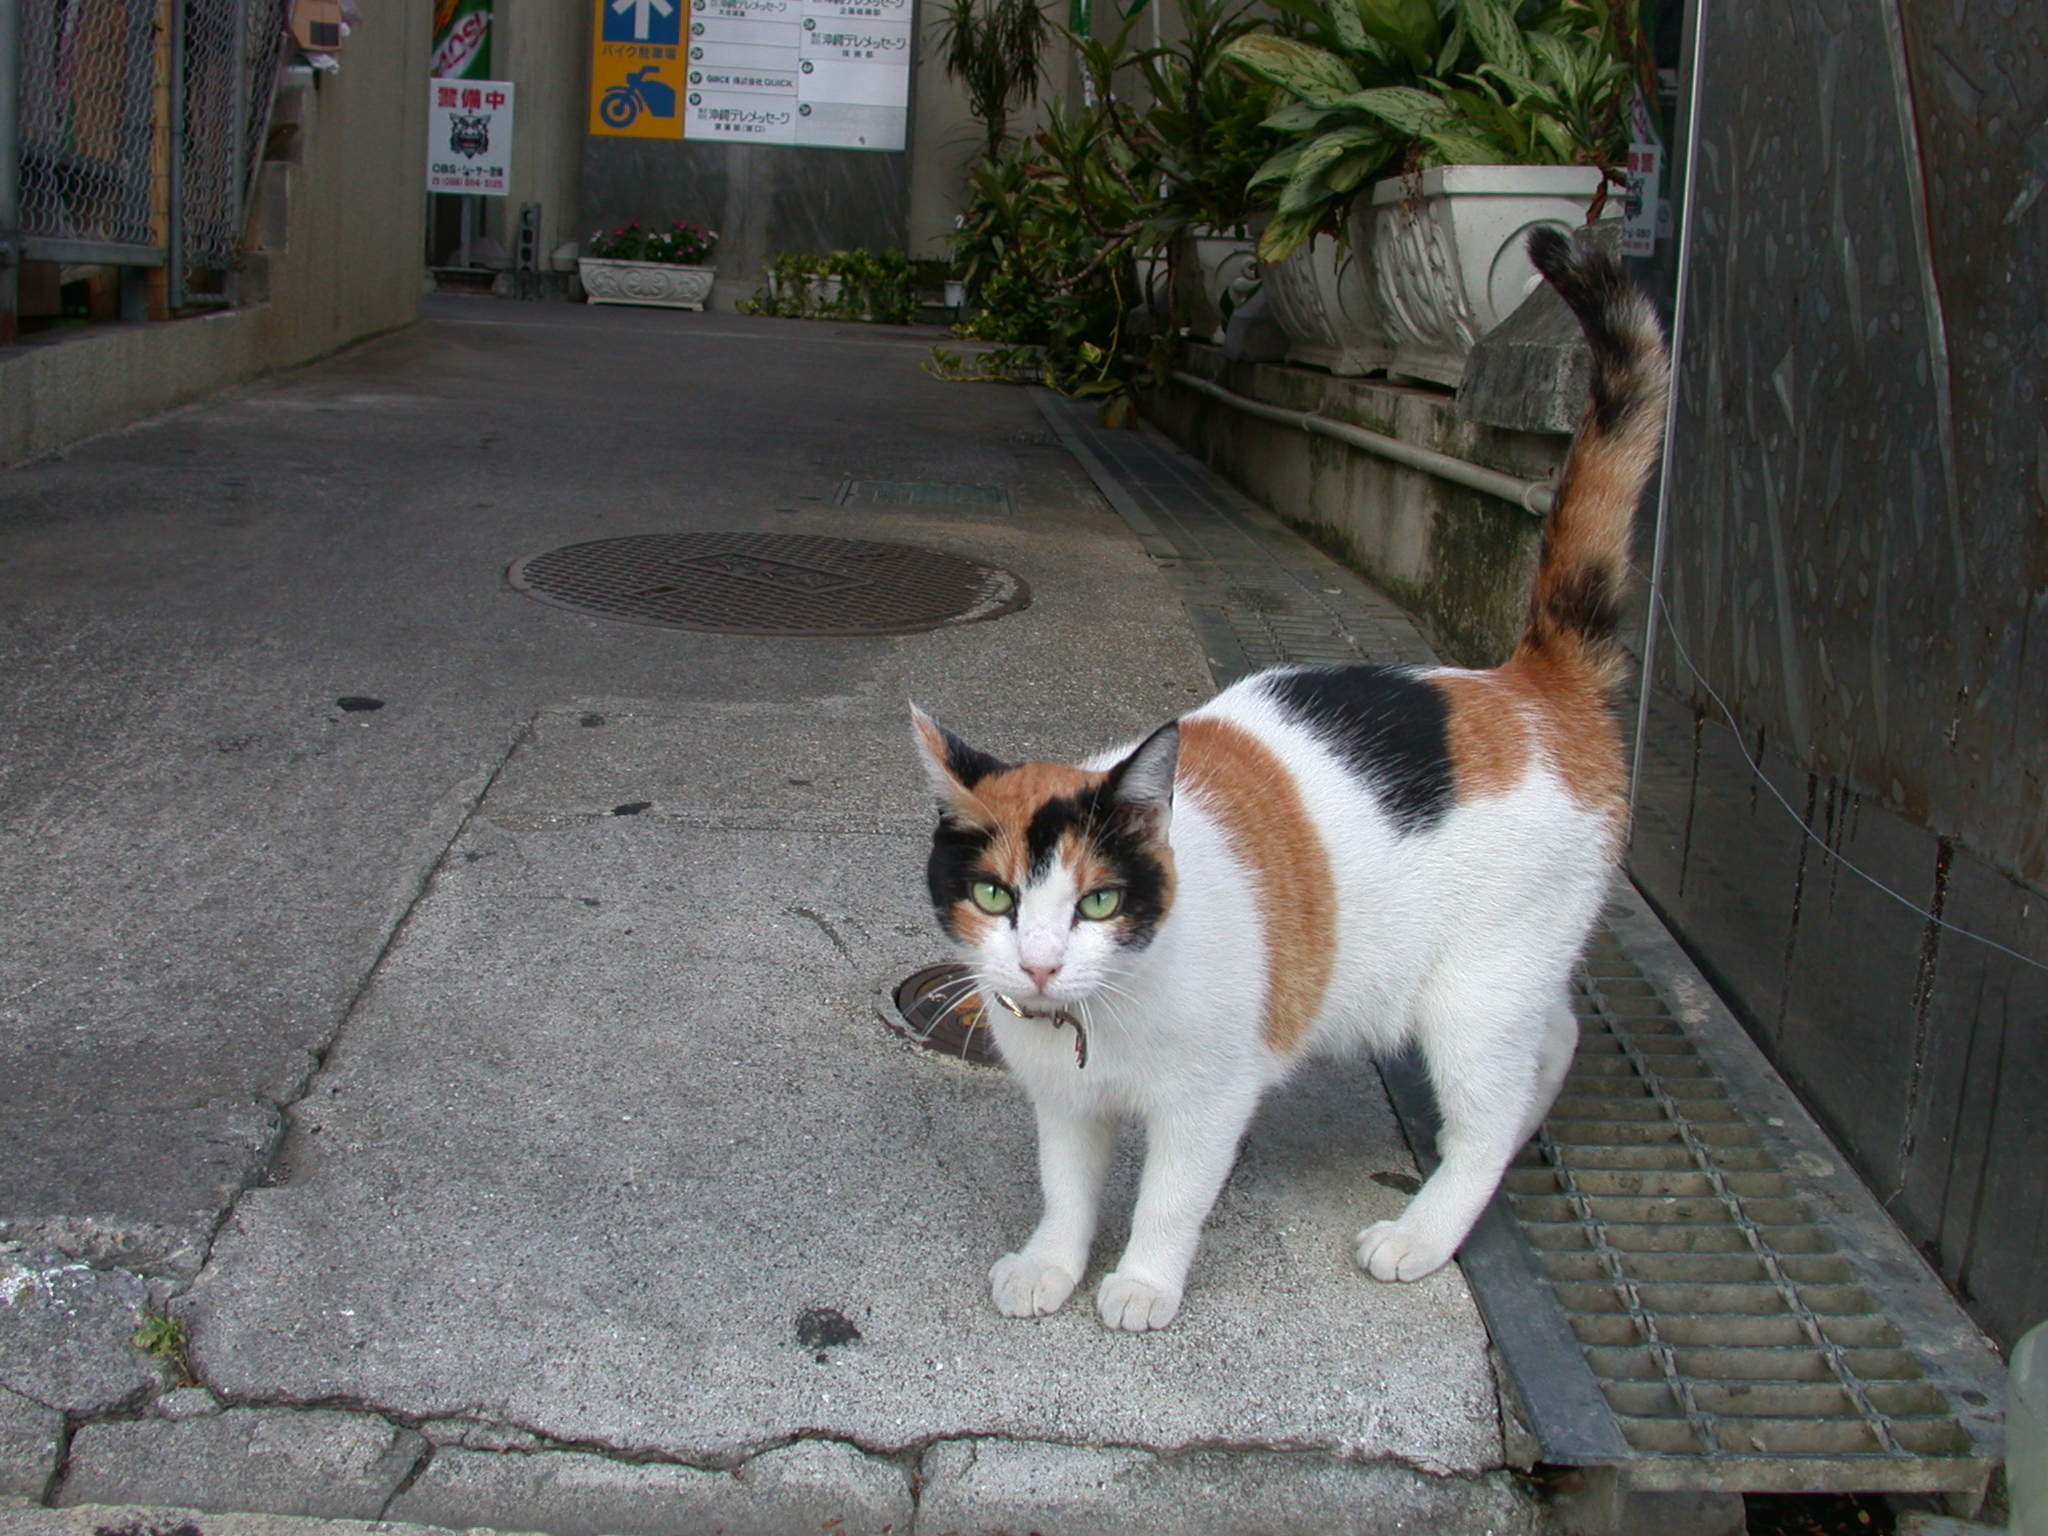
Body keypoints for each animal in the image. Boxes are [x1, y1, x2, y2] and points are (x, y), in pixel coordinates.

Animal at [909, 231, 1662, 1335]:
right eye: (996, 895)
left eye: (1100, 902)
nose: (1041, 967)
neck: (1102, 1016)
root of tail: (1528, 680)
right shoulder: (1066, 1102)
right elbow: (1066, 1186)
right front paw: (1052, 1264)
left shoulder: (1208, 1101)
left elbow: (1170, 1196)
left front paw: (1141, 1283)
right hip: (1505, 974)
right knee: (1552, 1036)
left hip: (1475, 991)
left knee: (1487, 1106)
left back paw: (1424, 1232)